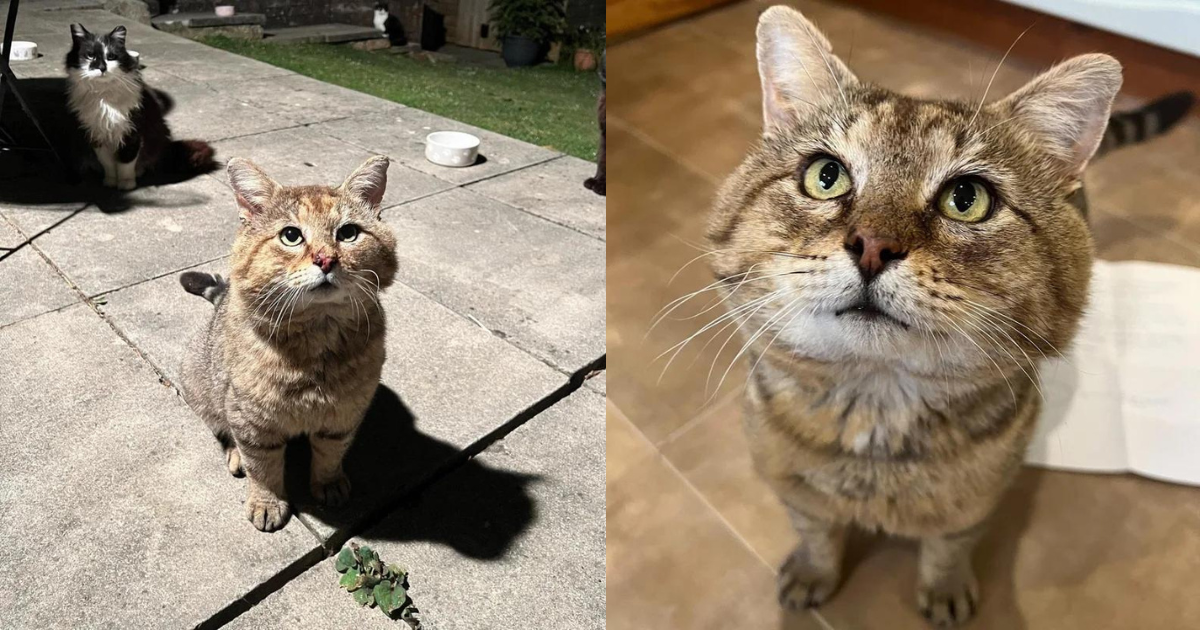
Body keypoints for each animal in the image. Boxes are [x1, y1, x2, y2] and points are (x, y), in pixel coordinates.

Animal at [64, 23, 213, 189]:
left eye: (111, 57)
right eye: (90, 55)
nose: (102, 68)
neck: (104, 96)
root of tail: (169, 149)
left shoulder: (131, 132)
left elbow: (126, 163)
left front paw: (126, 185)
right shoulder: (97, 134)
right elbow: (108, 163)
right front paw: (110, 182)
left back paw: (138, 173)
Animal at [180, 153, 398, 530]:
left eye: (348, 233)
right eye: (291, 236)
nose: (326, 260)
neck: (316, 338)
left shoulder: (343, 416)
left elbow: (330, 455)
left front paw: (328, 483)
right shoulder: (250, 421)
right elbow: (263, 466)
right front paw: (267, 502)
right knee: (221, 429)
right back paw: (234, 455)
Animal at [700, 6, 1190, 624]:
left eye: (967, 198)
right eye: (825, 175)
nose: (873, 245)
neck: (877, 409)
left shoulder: (976, 502)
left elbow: (948, 547)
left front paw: (945, 590)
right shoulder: (790, 484)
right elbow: (816, 532)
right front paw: (813, 573)